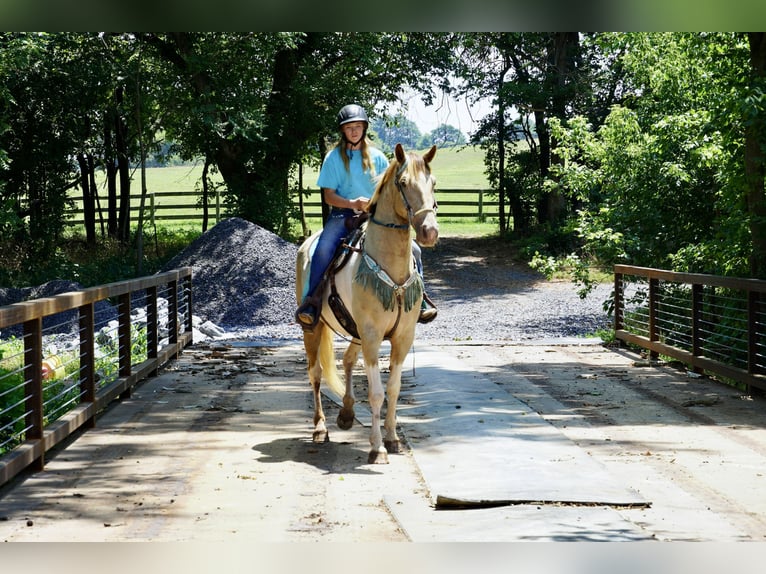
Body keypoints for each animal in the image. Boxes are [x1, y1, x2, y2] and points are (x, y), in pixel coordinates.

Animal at [295, 143, 438, 464]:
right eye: (403, 183)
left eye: (433, 183)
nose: (429, 232)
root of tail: (307, 243)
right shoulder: (372, 337)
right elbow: (376, 393)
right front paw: (377, 448)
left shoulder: (402, 338)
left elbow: (394, 389)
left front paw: (393, 438)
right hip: (314, 329)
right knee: (315, 374)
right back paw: (320, 428)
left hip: (355, 332)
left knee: (348, 361)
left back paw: (347, 412)